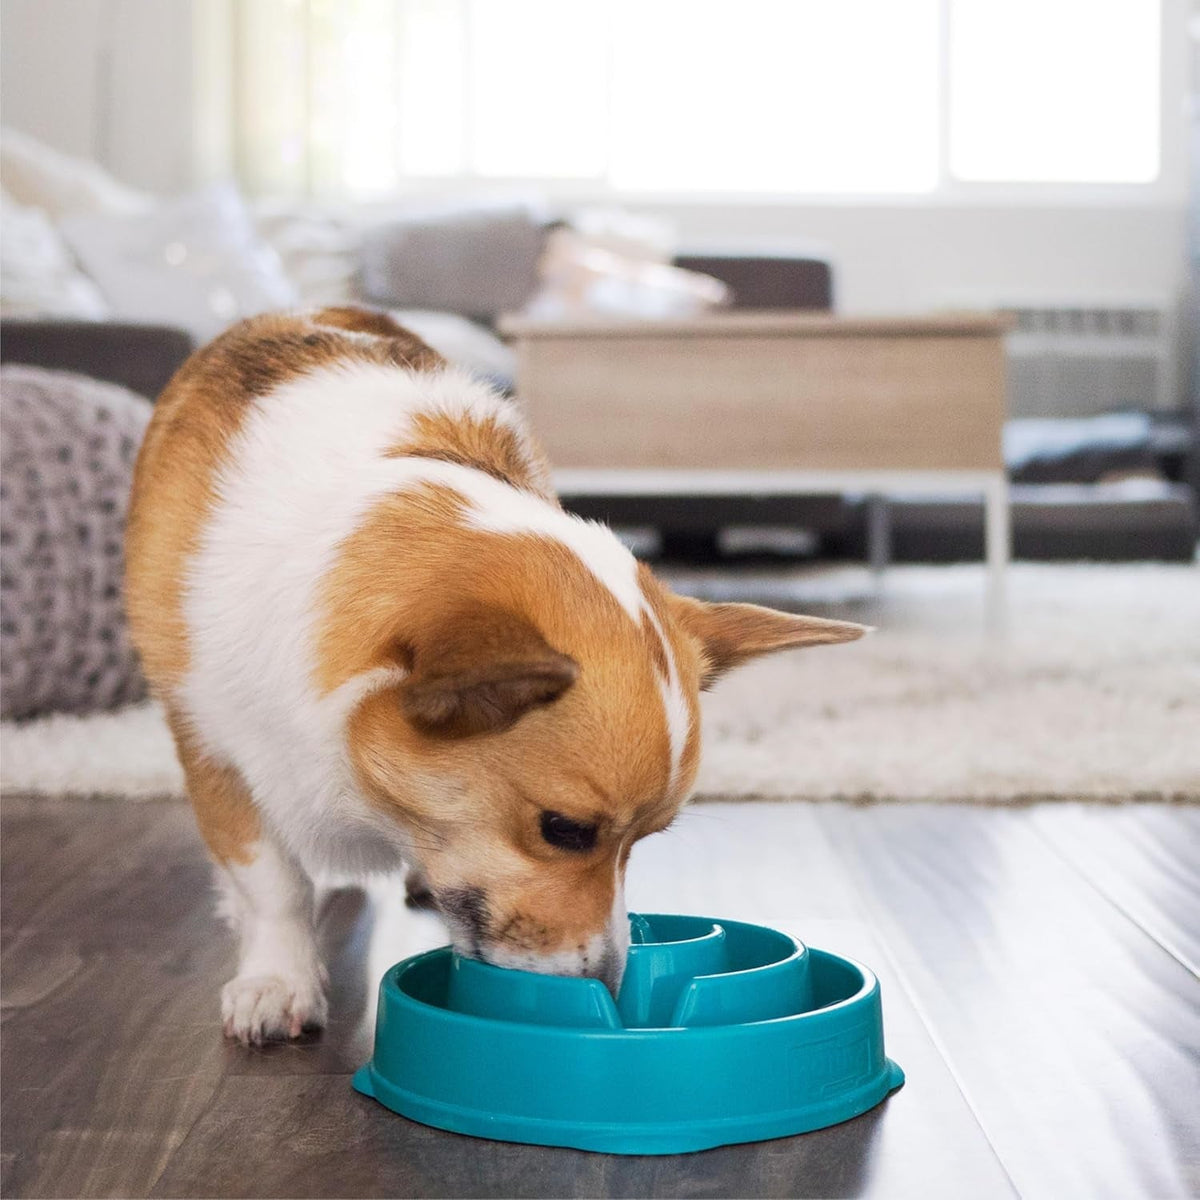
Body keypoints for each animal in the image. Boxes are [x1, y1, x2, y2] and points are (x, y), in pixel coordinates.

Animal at [126, 307, 868, 1041]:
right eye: (564, 830)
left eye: (643, 842)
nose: (606, 986)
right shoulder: (212, 747)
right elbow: (272, 883)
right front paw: (278, 980)